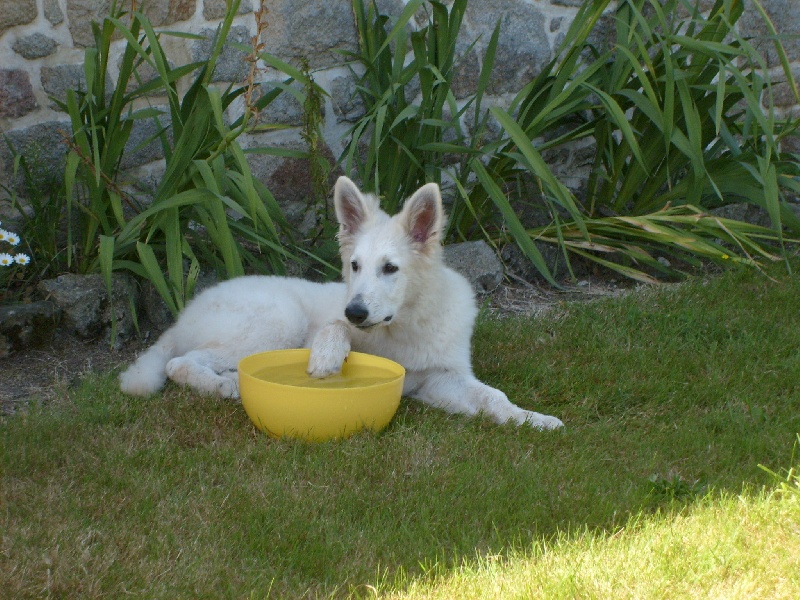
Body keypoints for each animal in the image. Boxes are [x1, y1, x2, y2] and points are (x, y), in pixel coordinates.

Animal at [120, 176, 564, 428]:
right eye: (354, 265)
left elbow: (493, 396)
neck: (402, 325)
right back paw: (224, 385)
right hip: (279, 320)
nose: (356, 311)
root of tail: (182, 316)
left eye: (390, 268)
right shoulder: (339, 322)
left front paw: (531, 419)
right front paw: (327, 357)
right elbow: (334, 329)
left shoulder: (441, 378)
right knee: (180, 363)